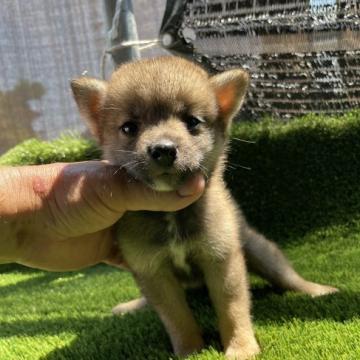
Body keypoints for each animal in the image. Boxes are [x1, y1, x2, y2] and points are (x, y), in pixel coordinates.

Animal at [71, 56, 338, 358]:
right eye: (129, 127)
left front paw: (241, 347)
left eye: (192, 122)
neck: (172, 216)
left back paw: (317, 290)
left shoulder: (221, 259)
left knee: (287, 278)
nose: (163, 149)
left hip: (261, 252)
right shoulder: (153, 272)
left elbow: (233, 309)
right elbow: (176, 318)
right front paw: (190, 350)